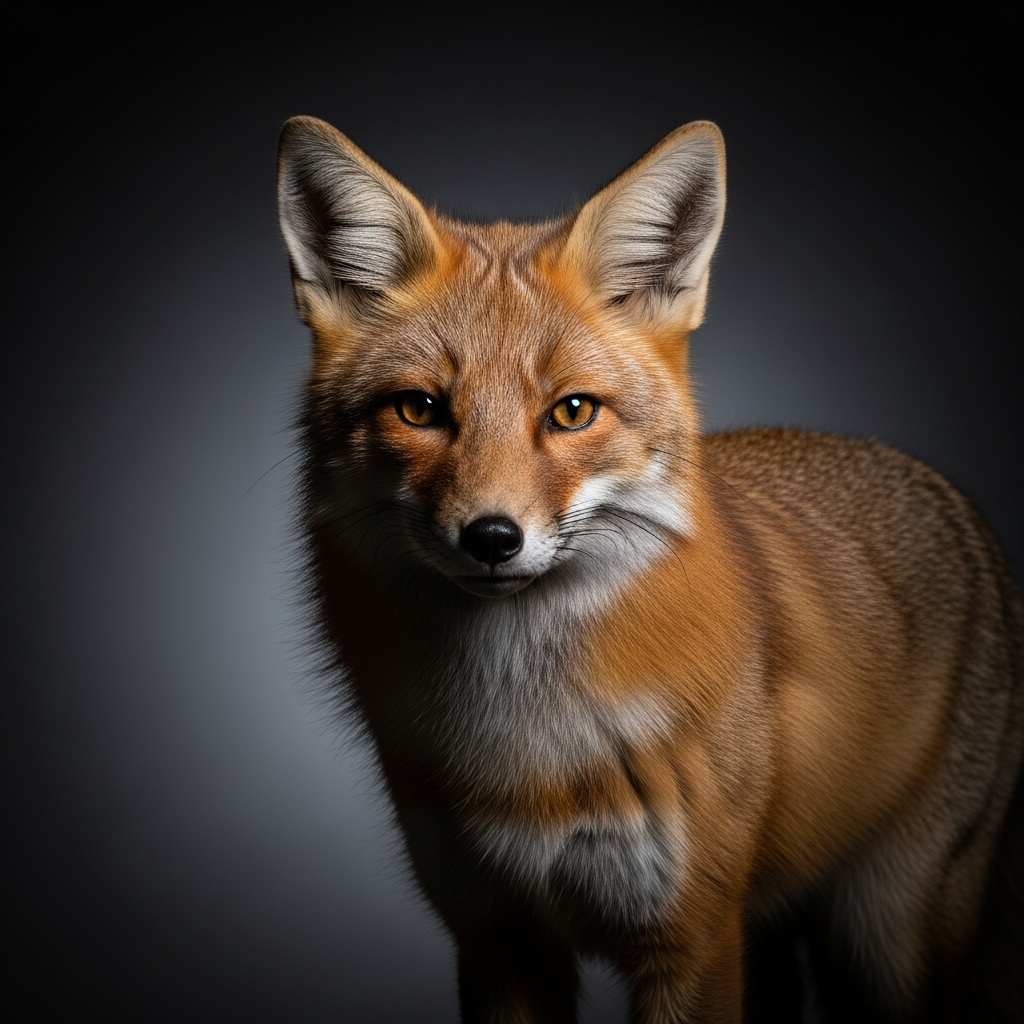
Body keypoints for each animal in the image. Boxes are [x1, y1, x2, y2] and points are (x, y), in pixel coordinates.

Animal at [276, 115, 1024, 1023]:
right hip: (776, 939)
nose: (491, 537)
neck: (529, 752)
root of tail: (940, 486)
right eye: (419, 410)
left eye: (571, 412)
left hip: (884, 947)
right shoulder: (497, 937)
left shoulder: (692, 937)